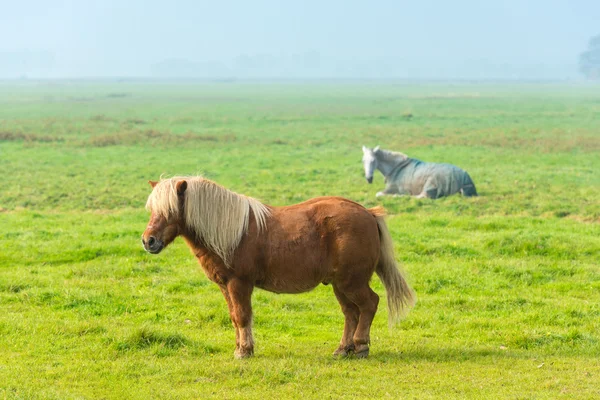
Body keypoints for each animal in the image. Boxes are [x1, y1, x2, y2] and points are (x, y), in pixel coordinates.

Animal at [141, 177, 414, 358]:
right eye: (152, 210)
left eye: (170, 210)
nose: (148, 241)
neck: (232, 232)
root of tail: (367, 213)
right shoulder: (225, 286)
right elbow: (234, 317)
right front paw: (240, 347)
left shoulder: (239, 284)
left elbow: (243, 316)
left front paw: (245, 351)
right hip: (340, 284)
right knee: (351, 313)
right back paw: (342, 349)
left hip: (352, 282)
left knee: (369, 305)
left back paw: (361, 346)